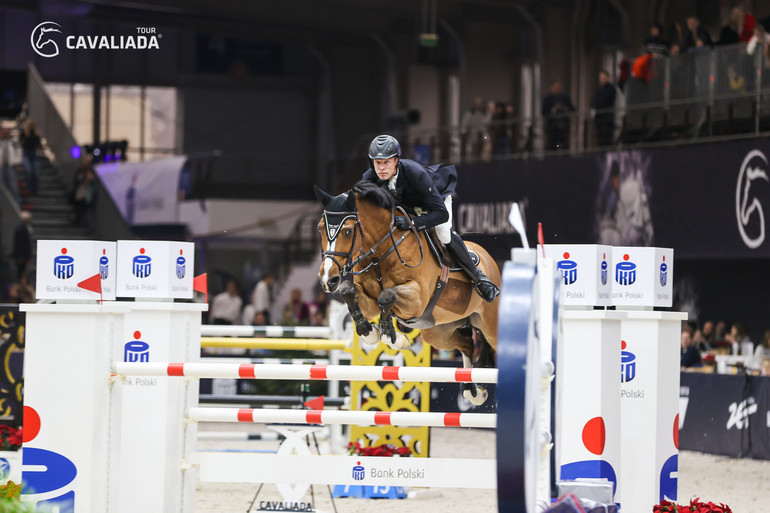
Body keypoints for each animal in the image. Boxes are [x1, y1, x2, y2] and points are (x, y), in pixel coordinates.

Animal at [312, 180, 498, 404]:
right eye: (320, 228)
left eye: (348, 231)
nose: (327, 279)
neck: (381, 252)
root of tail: (488, 258)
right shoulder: (369, 302)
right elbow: (349, 291)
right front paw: (371, 332)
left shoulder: (417, 299)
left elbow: (387, 295)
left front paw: (391, 335)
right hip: (439, 333)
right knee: (467, 344)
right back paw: (473, 392)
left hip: (489, 326)